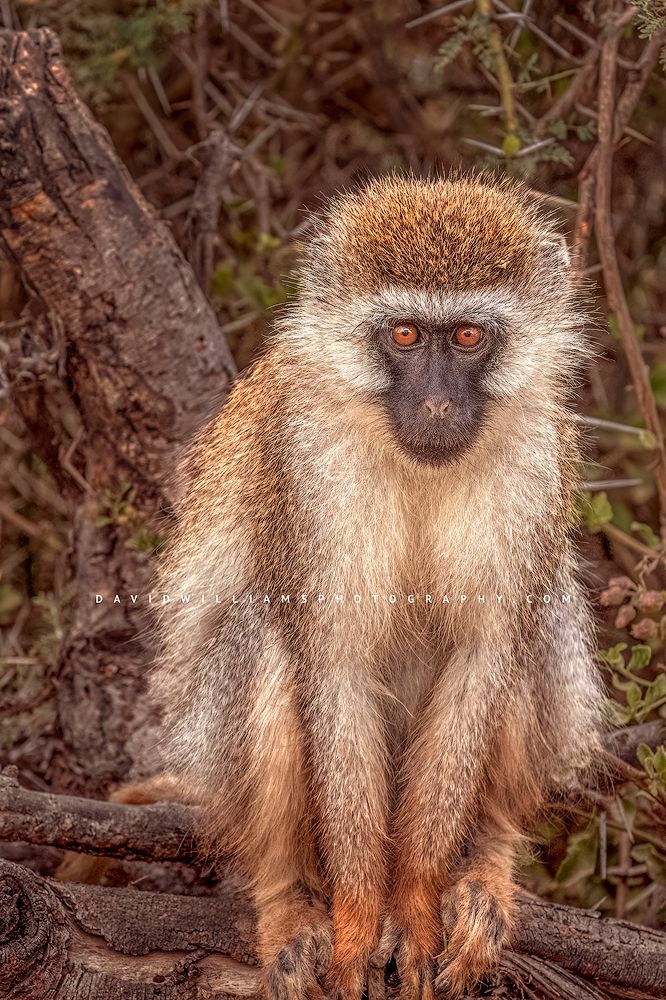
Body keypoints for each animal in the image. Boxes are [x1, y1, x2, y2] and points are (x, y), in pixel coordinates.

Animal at [151, 174, 605, 1000]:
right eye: (404, 336)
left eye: (467, 337)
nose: (436, 405)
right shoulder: (304, 462)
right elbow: (333, 665)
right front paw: (361, 918)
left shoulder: (536, 458)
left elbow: (484, 656)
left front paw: (417, 904)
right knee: (266, 632)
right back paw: (287, 897)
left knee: (534, 620)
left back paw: (487, 860)